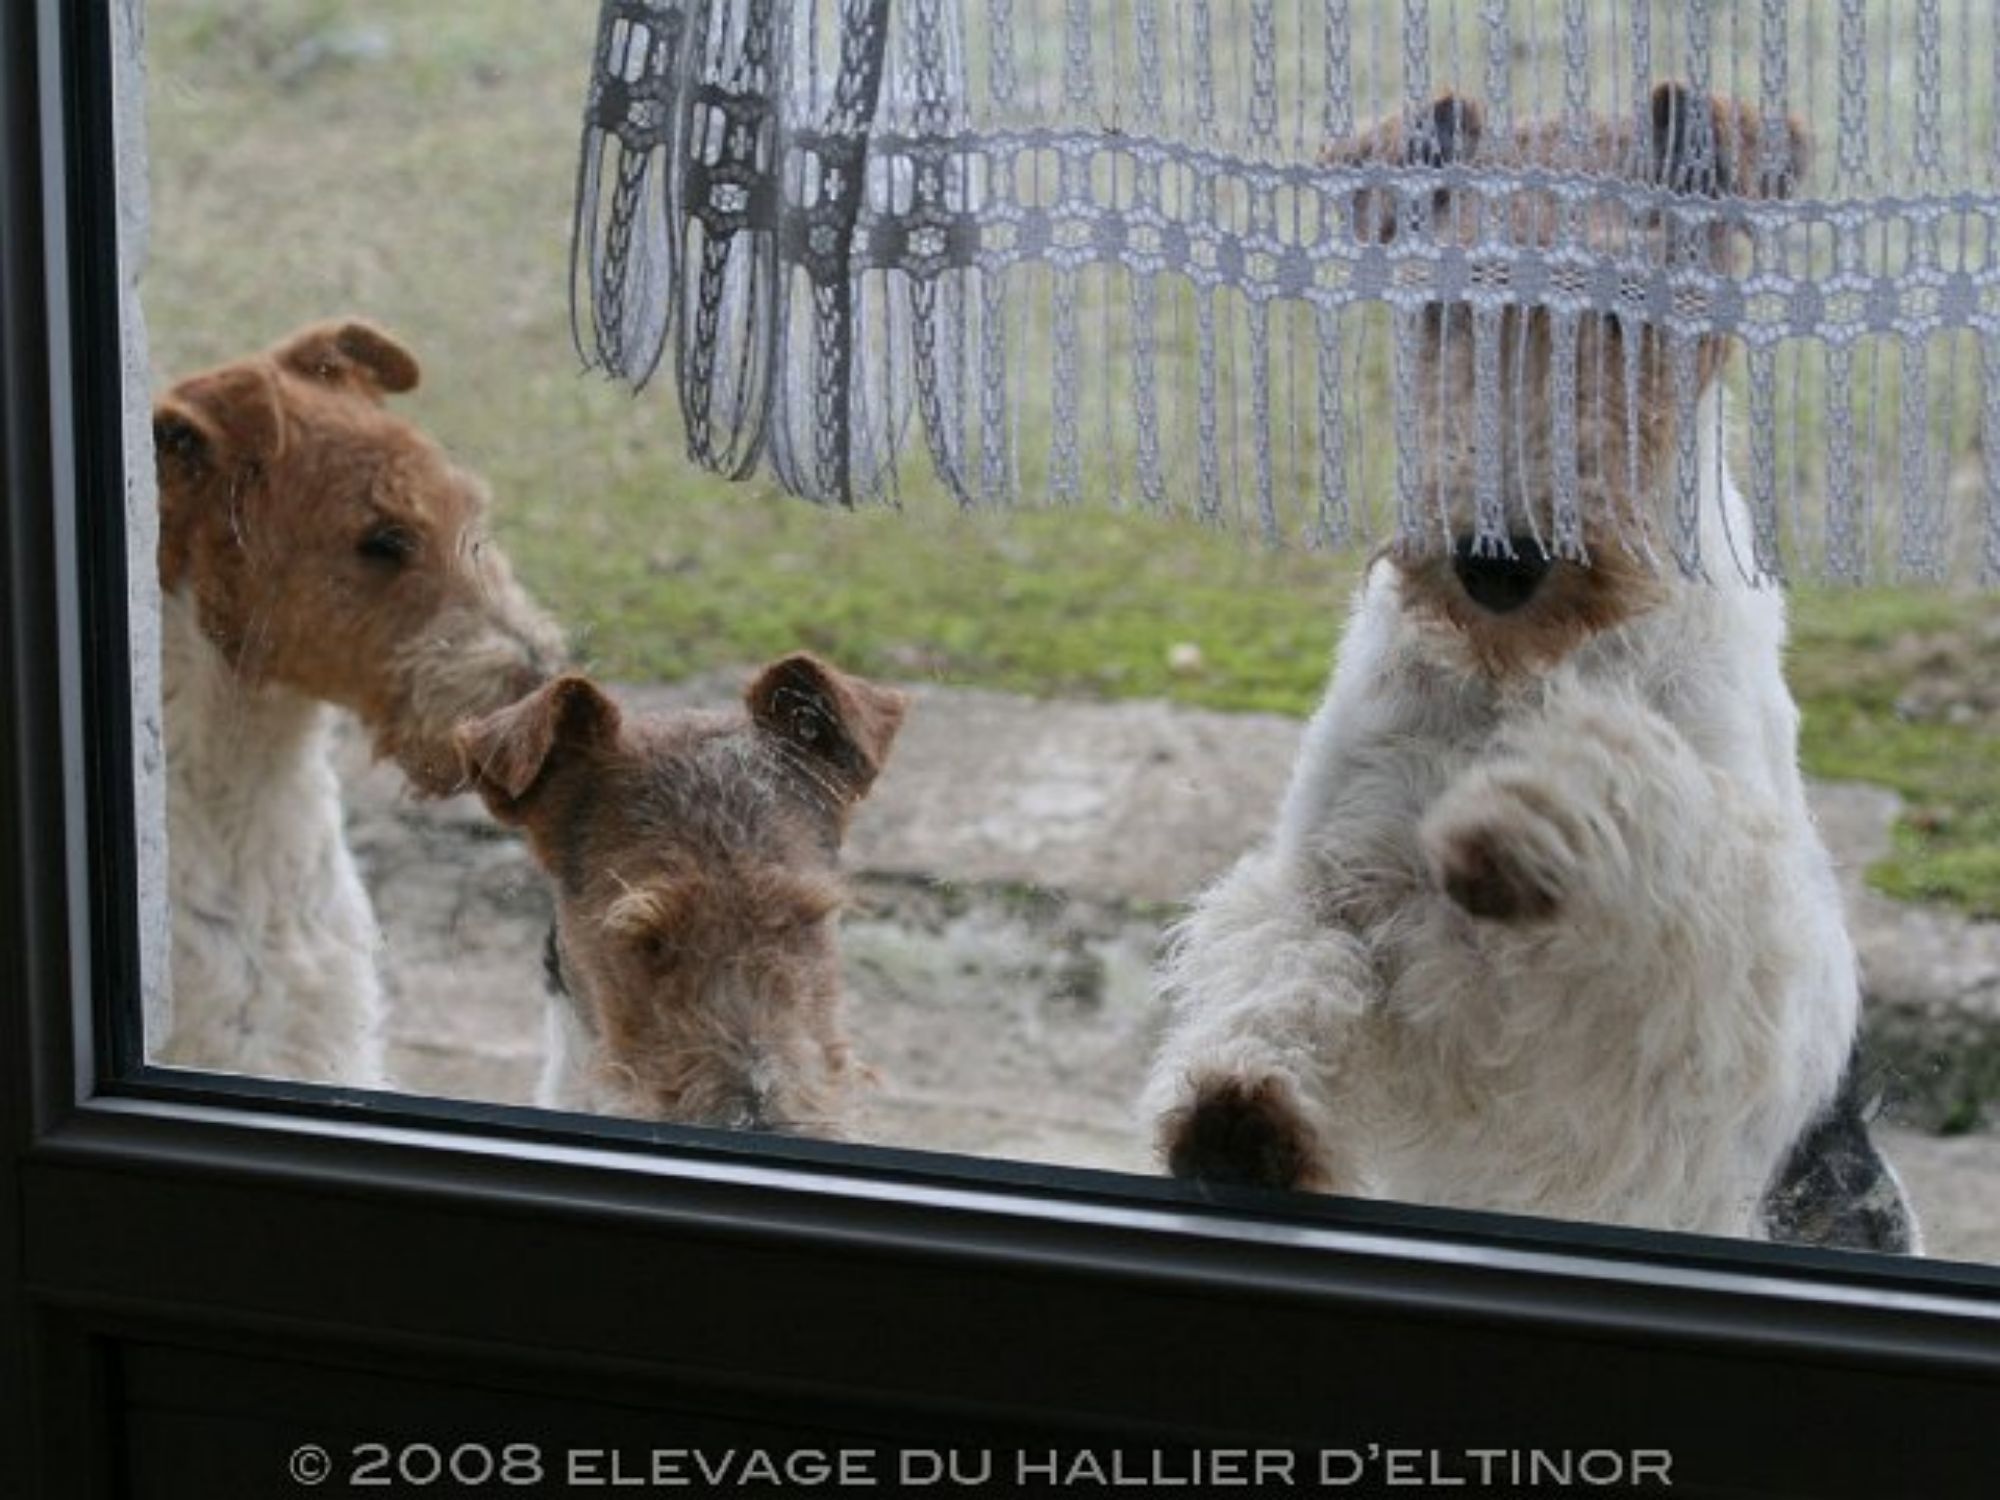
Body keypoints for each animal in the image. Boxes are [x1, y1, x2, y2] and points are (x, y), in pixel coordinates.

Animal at [1145, 86, 1919, 1249]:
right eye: (1444, 303)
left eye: (1627, 308)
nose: (1497, 559)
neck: (1519, 663)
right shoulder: (1335, 873)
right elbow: (1288, 968)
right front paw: (1241, 1121)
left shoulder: (1742, 991)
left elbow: (1661, 805)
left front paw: (1541, 806)